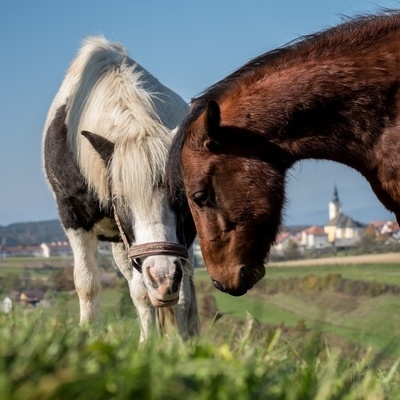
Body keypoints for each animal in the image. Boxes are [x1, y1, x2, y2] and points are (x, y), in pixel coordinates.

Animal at [43, 36, 199, 340]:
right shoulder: (74, 218)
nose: (163, 276)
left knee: (182, 294)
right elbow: (88, 284)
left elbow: (174, 296)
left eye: (179, 196)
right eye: (119, 199)